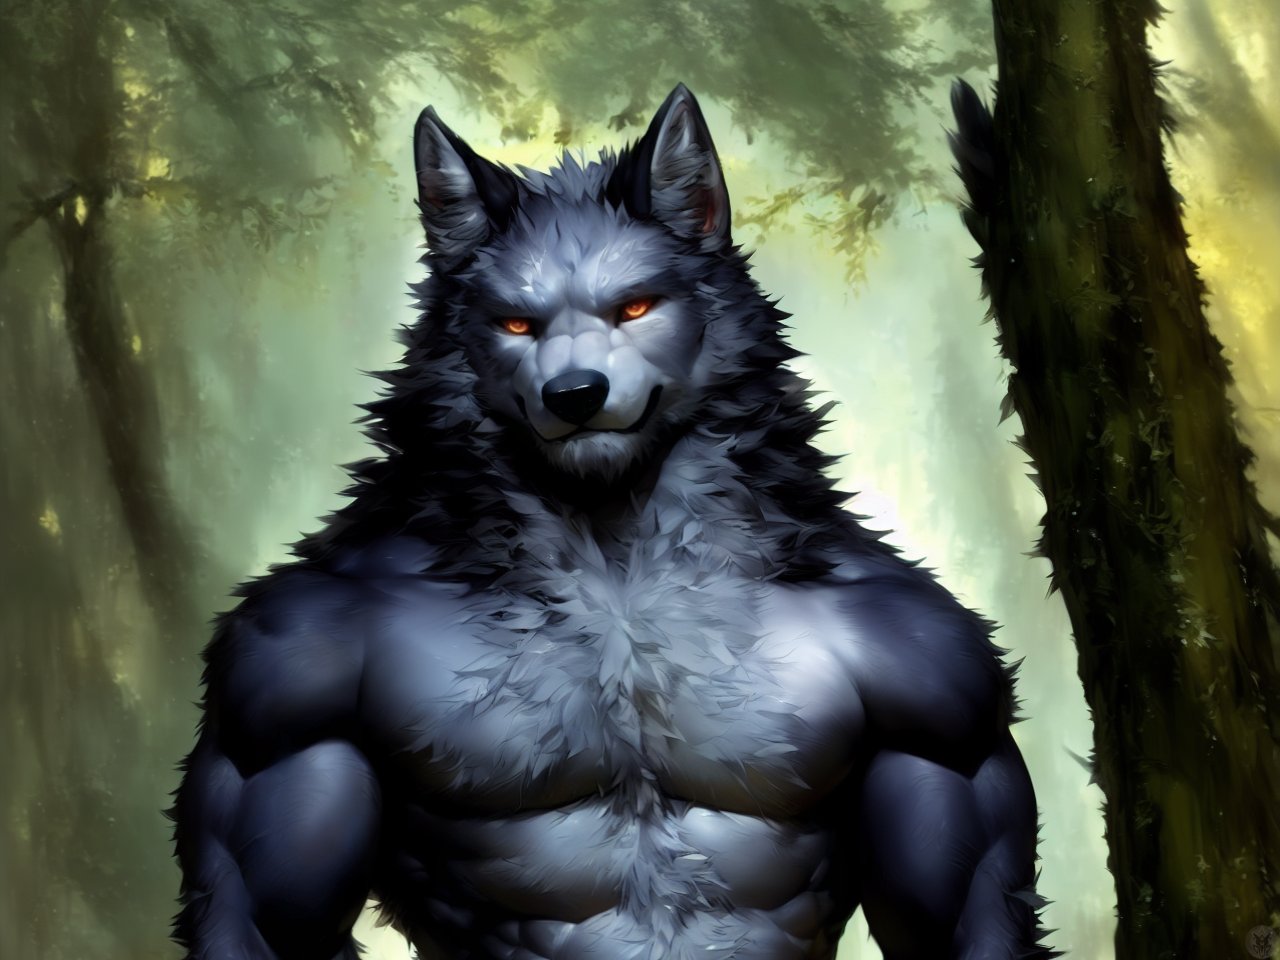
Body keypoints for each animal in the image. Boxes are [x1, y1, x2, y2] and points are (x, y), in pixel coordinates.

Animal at [172, 84, 1055, 960]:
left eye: (633, 307)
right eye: (517, 324)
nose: (574, 394)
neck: (616, 556)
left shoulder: (937, 679)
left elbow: (961, 914)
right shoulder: (281, 671)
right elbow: (263, 920)